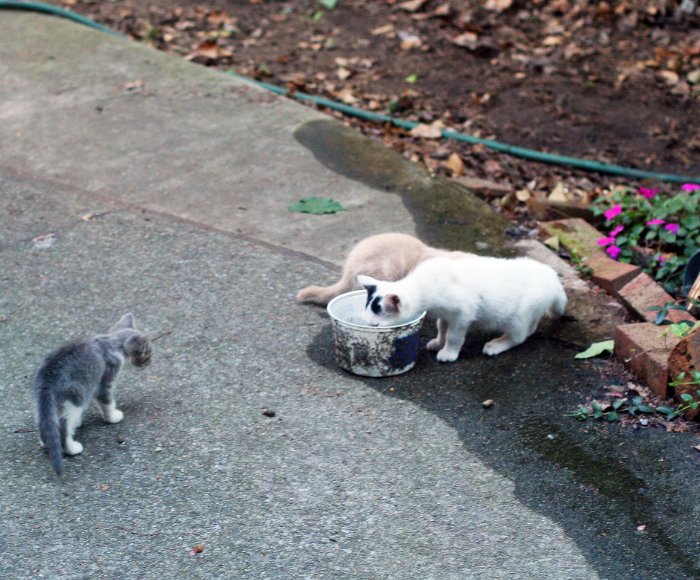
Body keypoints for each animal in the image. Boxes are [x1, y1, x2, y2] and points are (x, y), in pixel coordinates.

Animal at [33, 312, 151, 476]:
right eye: (148, 352)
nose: (150, 362)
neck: (112, 342)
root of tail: (47, 378)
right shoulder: (103, 382)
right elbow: (107, 401)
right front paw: (112, 417)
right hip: (75, 397)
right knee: (63, 426)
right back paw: (72, 448)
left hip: (46, 404)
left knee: (45, 423)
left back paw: (47, 443)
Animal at [358, 255, 568, 362]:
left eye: (375, 326)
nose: (367, 327)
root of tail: (555, 280)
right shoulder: (445, 315)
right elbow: (442, 328)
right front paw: (438, 342)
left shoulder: (462, 315)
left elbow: (454, 336)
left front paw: (449, 352)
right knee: (530, 329)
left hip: (519, 316)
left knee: (520, 336)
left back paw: (497, 344)